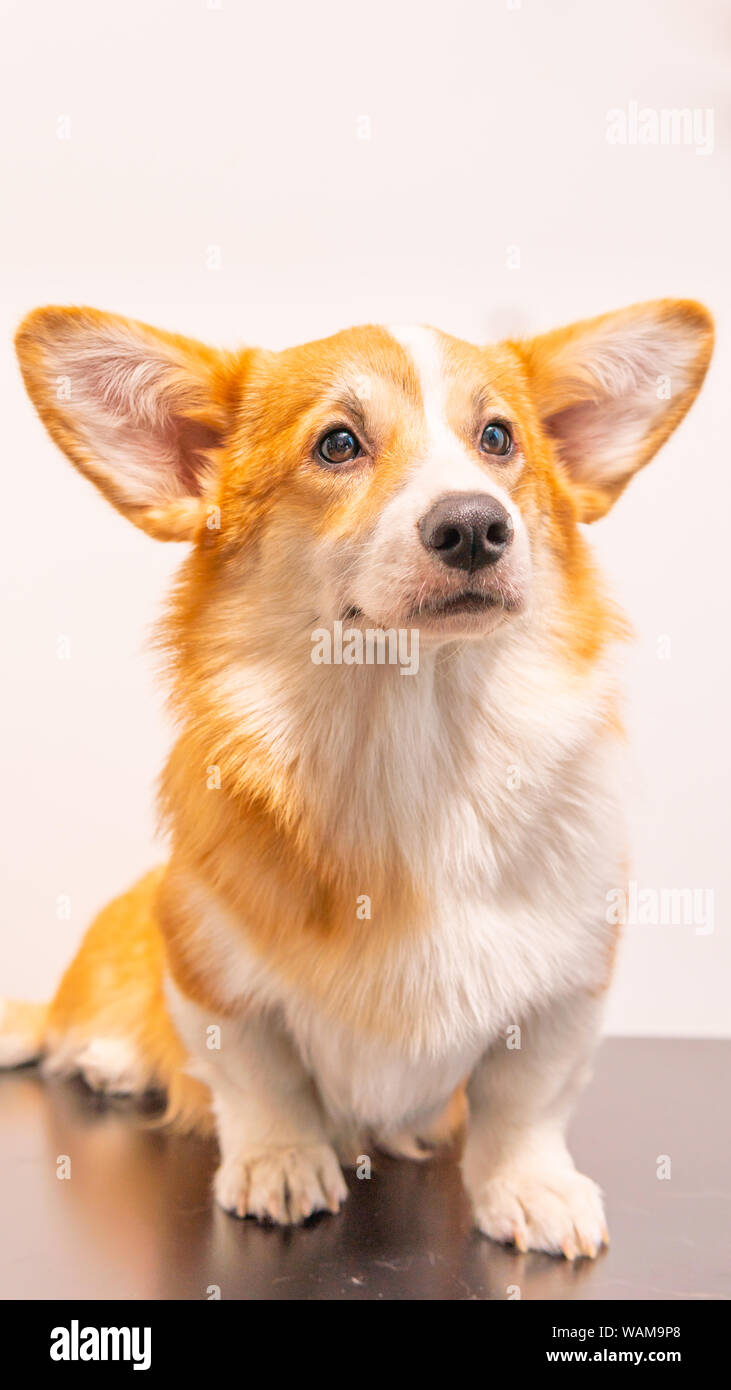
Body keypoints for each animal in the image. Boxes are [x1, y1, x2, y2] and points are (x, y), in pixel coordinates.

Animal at [4, 298, 717, 1256]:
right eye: (338, 444)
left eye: (498, 438)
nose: (475, 525)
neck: (412, 745)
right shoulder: (210, 973)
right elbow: (261, 1082)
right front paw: (280, 1163)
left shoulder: (566, 993)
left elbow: (523, 1103)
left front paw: (529, 1187)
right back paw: (112, 1057)